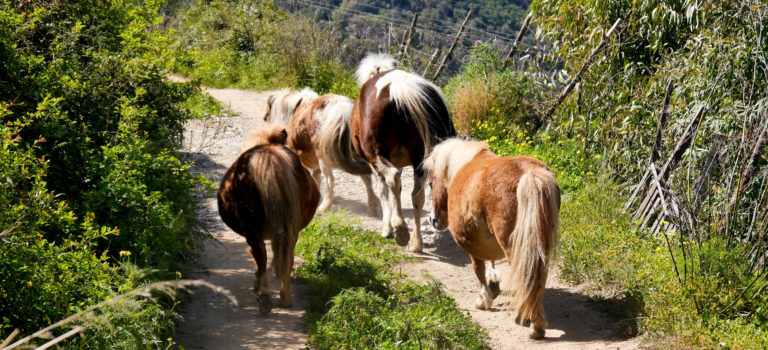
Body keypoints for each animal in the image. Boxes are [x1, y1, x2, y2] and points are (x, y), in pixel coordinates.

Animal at [218, 122, 320, 314]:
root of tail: (268, 155)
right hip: (289, 226)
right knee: (286, 257)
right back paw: (284, 298)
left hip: (253, 230)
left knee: (261, 258)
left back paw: (264, 297)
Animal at [352, 52, 456, 252]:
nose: (437, 222)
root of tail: (398, 88)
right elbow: (398, 193)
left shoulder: (376, 164)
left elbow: (384, 192)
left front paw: (388, 228)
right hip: (421, 160)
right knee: (417, 195)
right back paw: (416, 242)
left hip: (378, 155)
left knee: (393, 178)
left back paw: (401, 230)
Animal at [424, 137, 560, 340]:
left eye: (431, 184)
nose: (433, 220)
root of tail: (531, 175)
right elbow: (491, 261)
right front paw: (494, 285)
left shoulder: (469, 242)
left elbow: (478, 268)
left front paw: (483, 299)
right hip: (541, 243)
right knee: (539, 276)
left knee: (527, 277)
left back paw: (533, 324)